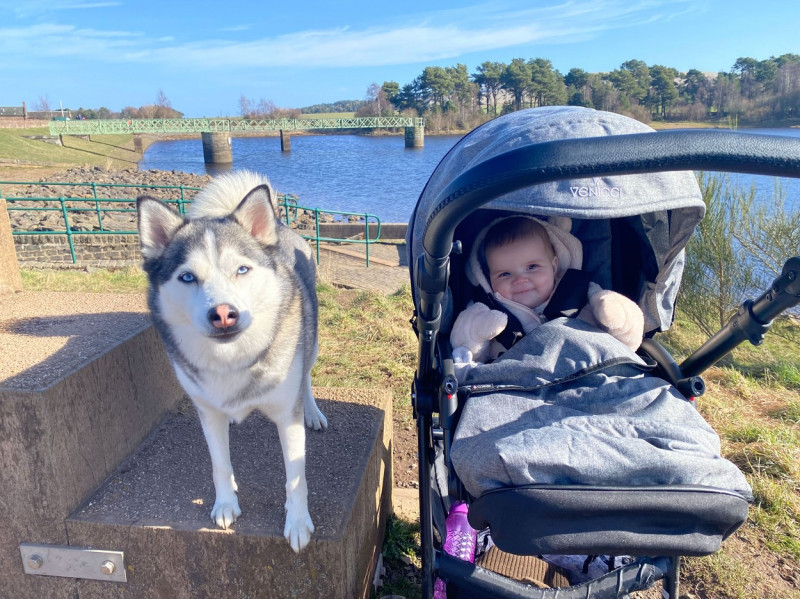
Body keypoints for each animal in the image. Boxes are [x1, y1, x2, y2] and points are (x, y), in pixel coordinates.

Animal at [136, 170, 326, 552]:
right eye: (187, 277)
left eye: (242, 269)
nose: (223, 314)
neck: (232, 358)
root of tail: (278, 226)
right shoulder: (208, 411)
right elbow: (219, 463)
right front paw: (226, 503)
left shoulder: (287, 416)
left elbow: (295, 477)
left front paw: (298, 522)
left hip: (310, 342)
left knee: (308, 376)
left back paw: (313, 411)